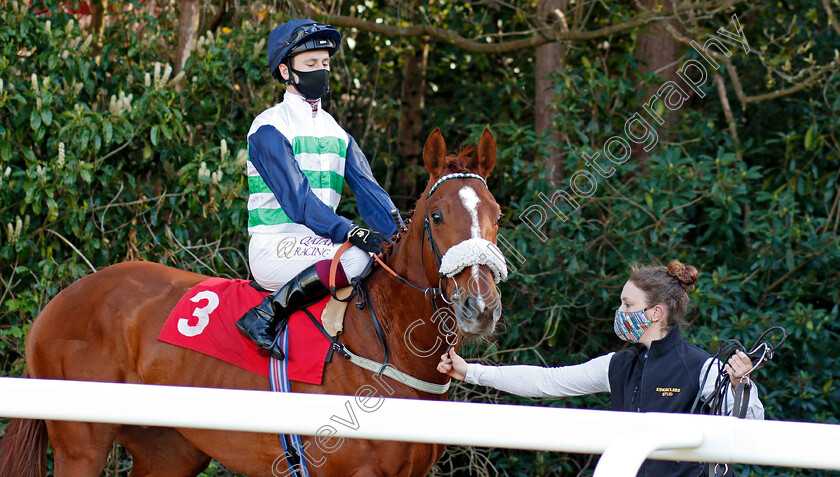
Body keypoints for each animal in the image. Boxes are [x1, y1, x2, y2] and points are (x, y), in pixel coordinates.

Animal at [1, 128, 506, 474]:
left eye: (497, 214)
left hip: (168, 451)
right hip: (81, 447)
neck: (381, 342)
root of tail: (60, 301)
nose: (479, 306)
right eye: (436, 215)